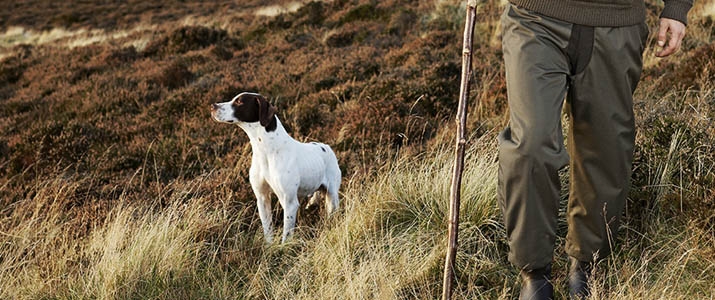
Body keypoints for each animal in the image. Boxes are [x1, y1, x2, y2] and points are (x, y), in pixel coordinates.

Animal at [210, 92, 342, 243]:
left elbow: (287, 234)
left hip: (331, 197)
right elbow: (268, 229)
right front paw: (269, 246)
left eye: (239, 102)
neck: (266, 150)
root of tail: (326, 147)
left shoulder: (289, 202)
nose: (213, 106)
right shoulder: (262, 198)